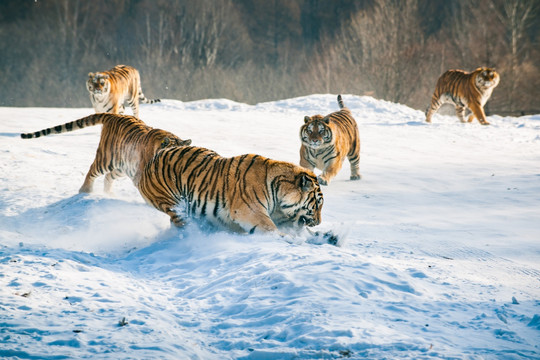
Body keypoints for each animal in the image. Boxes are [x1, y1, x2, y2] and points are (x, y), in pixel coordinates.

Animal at [20, 114, 192, 194]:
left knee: (109, 177)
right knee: (91, 171)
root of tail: (116, 115)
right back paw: (85, 191)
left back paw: (108, 193)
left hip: (122, 167)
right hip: (106, 159)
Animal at [138, 145, 324, 235]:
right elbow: (272, 229)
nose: (319, 222)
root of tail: (154, 157)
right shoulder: (250, 212)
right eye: (317, 204)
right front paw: (293, 240)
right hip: (172, 205)